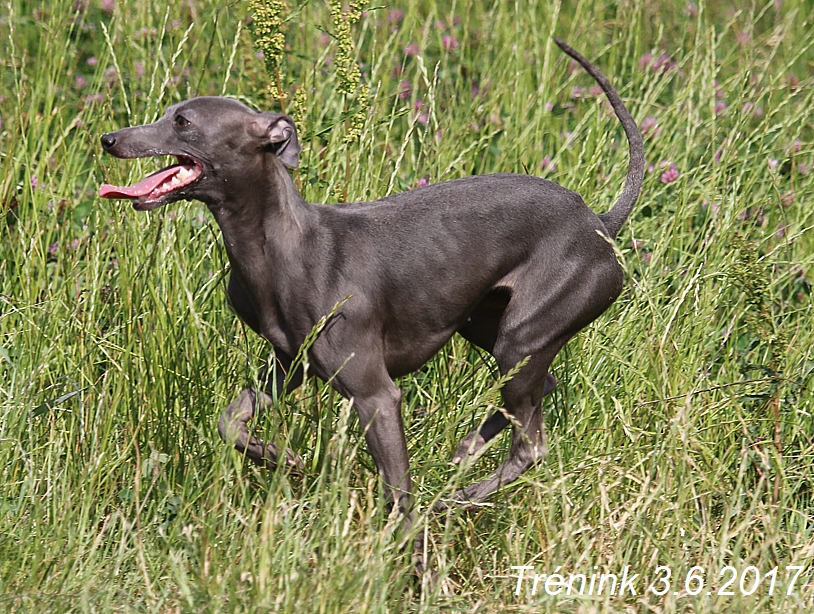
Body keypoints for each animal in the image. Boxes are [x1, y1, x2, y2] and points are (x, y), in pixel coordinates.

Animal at [99, 39, 644, 528]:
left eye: (183, 121)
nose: (109, 138)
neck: (280, 247)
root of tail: (598, 222)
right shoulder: (289, 364)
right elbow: (229, 420)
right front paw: (284, 460)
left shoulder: (376, 397)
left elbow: (400, 497)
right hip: (487, 324)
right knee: (538, 391)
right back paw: (467, 451)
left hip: (525, 336)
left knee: (531, 447)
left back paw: (455, 499)